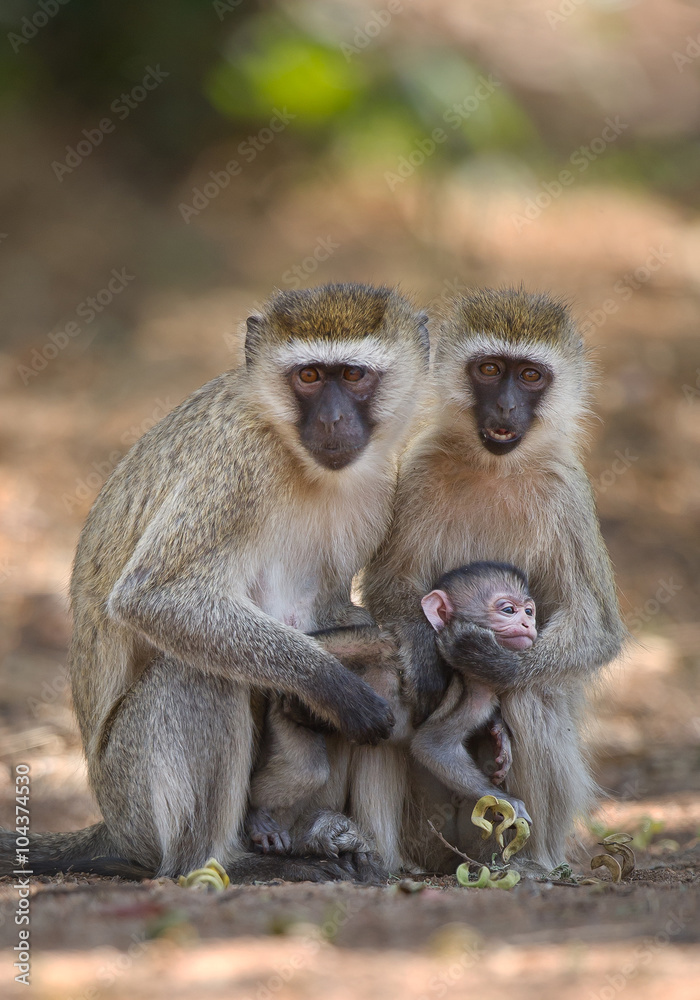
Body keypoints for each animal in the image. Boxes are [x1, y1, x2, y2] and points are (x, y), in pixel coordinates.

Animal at [0, 283, 431, 883]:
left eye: (353, 376)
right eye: (309, 377)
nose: (331, 421)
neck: (294, 456)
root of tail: (112, 825)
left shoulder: (373, 491)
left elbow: (332, 613)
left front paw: (402, 642)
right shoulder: (235, 466)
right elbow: (157, 597)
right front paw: (330, 683)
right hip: (133, 795)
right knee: (199, 672)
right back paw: (225, 861)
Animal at [245, 561, 535, 862]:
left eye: (529, 611)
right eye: (508, 610)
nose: (528, 624)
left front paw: (499, 734)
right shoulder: (474, 690)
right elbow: (433, 747)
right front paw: (508, 802)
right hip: (283, 709)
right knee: (307, 771)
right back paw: (258, 816)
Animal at [361, 287, 626, 874]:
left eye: (528, 375)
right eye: (488, 369)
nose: (504, 407)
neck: (494, 466)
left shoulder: (566, 491)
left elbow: (596, 626)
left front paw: (499, 663)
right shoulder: (420, 468)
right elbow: (390, 589)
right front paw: (427, 658)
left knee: (532, 696)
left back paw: (536, 861)